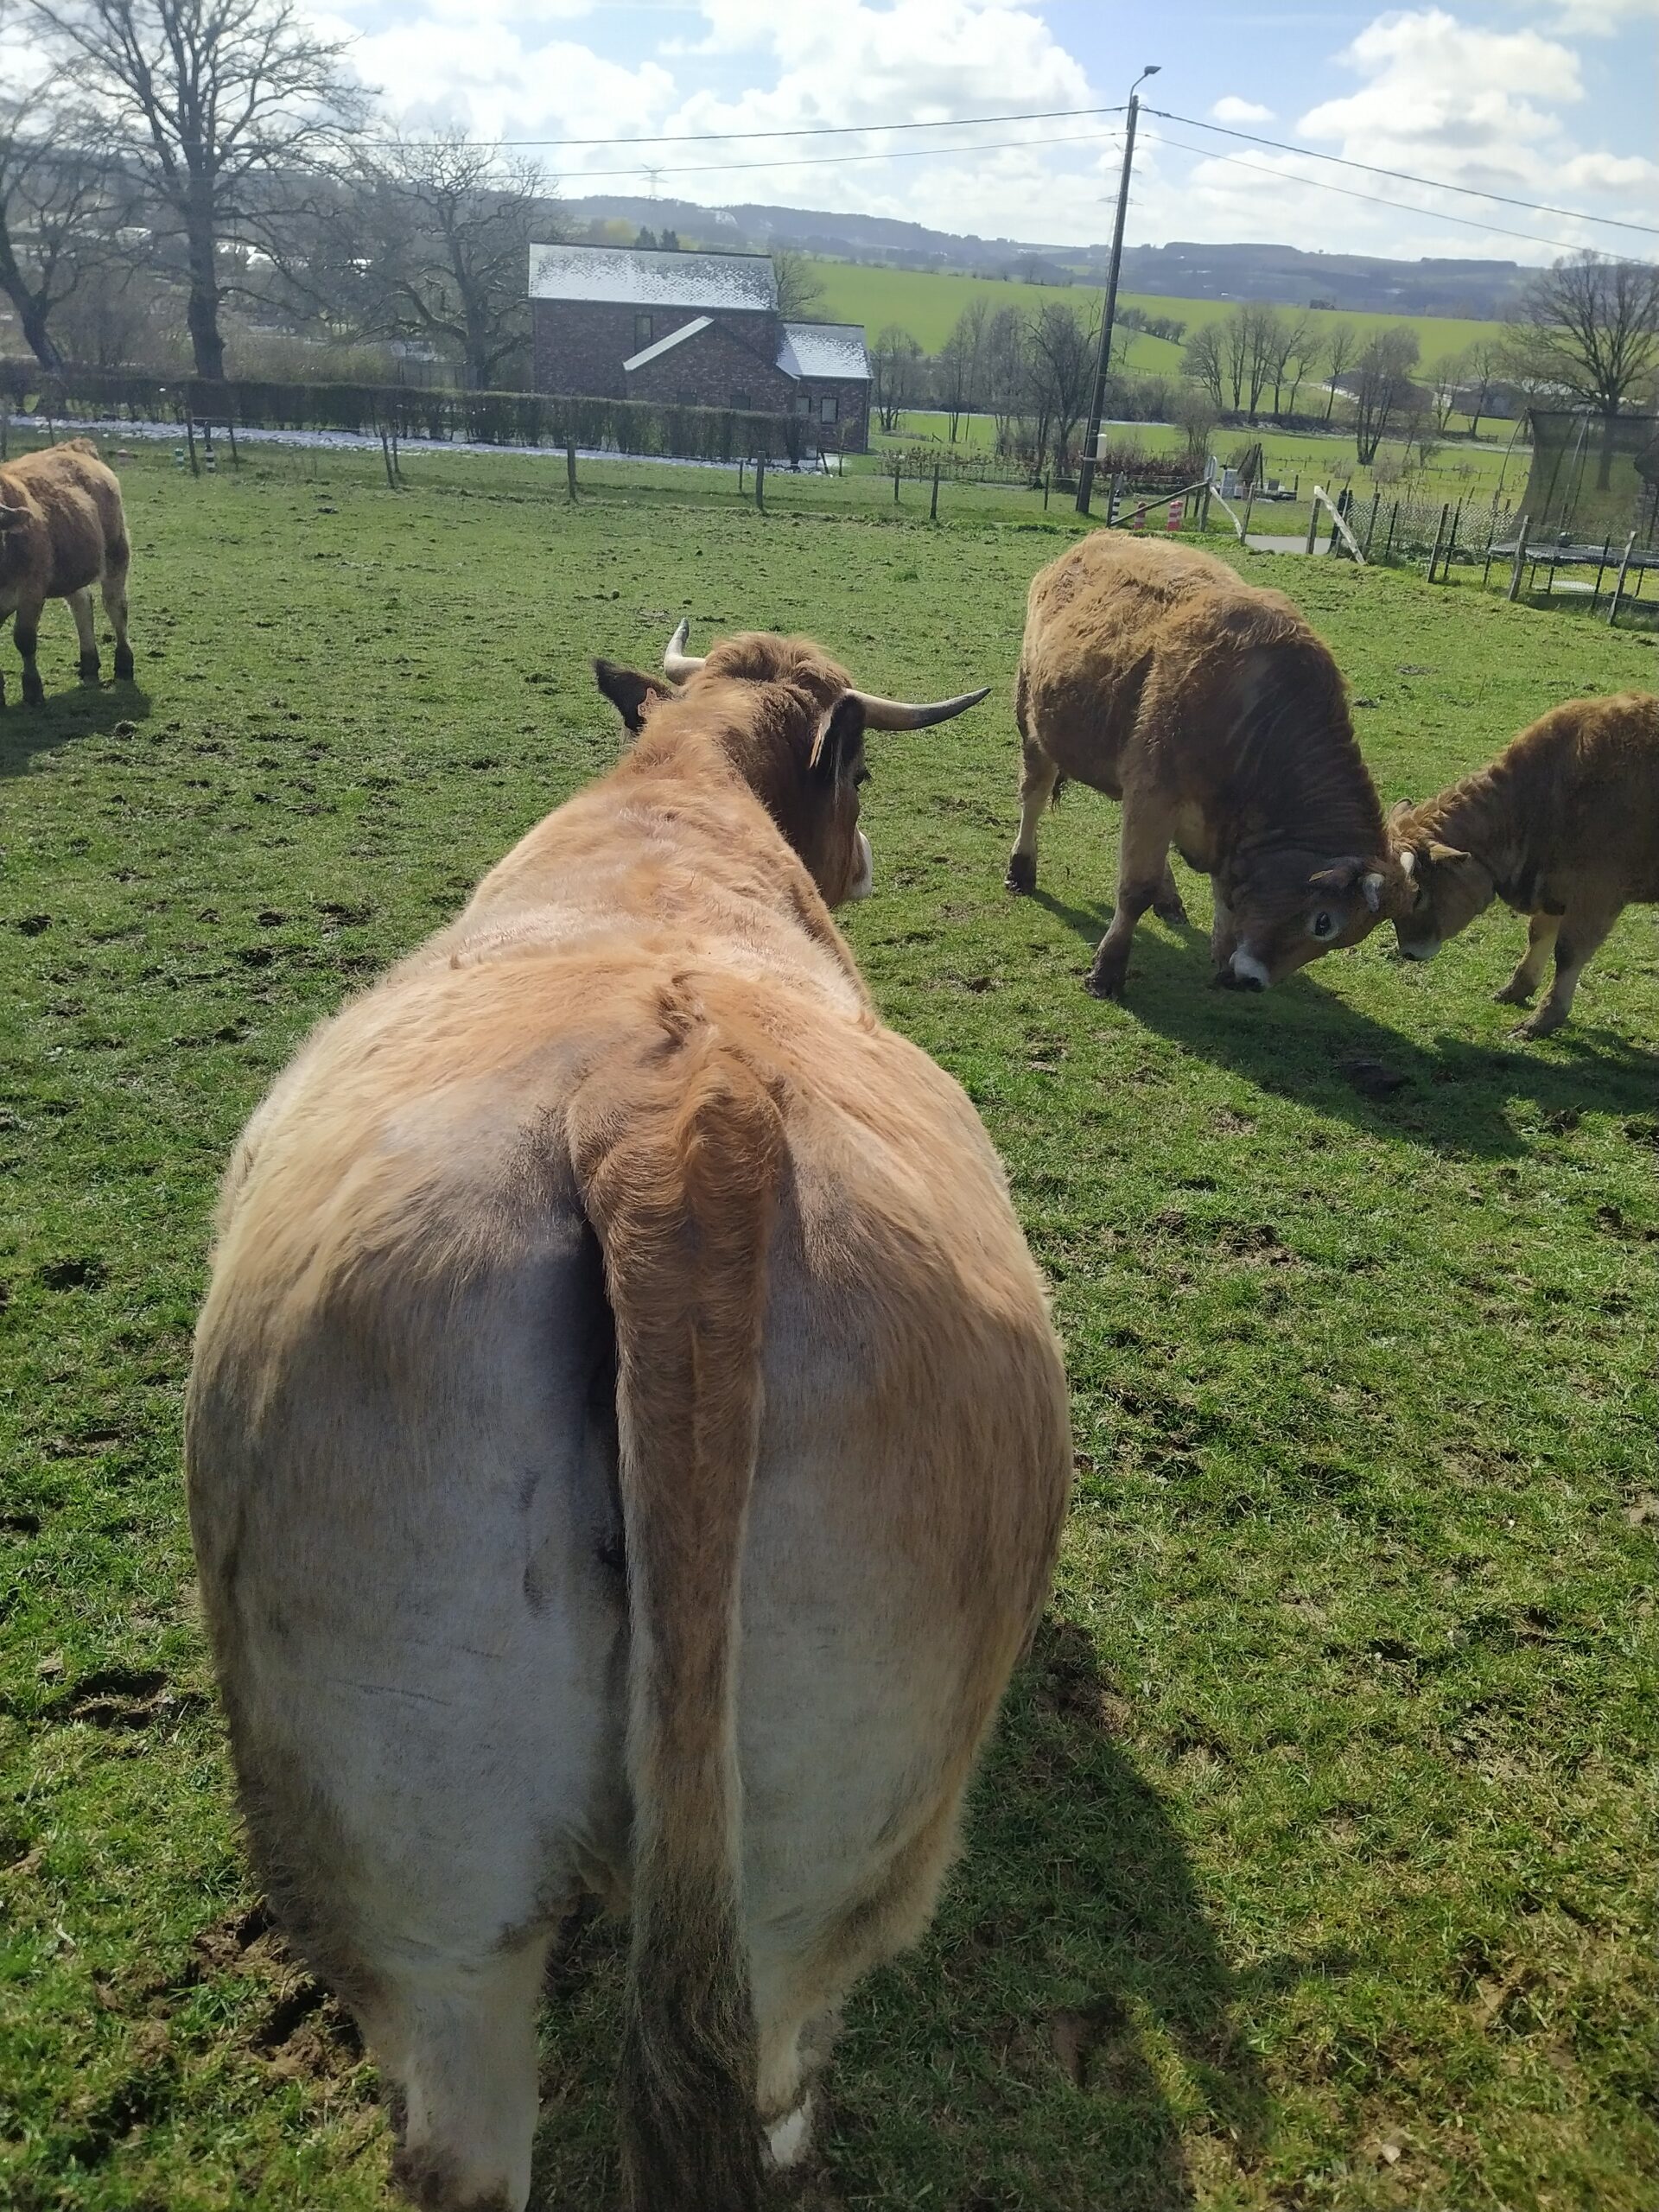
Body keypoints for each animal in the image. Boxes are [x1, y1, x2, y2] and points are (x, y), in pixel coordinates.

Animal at [0, 437, 134, 707]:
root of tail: (75, 446)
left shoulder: (31, 593)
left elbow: (25, 639)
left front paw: (33, 690)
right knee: (82, 605)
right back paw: (89, 663)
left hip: (117, 553)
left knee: (116, 606)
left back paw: (124, 664)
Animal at [184, 624, 1071, 2212]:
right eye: (861, 773)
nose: (866, 857)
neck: (680, 801)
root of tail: (673, 1126)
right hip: (765, 1886)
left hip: (436, 1885)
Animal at [1004, 533, 1409, 998]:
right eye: (1323, 922)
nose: (1253, 981)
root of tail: (1091, 543)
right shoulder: (1155, 794)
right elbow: (1134, 890)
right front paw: (1107, 970)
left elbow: (1222, 895)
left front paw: (1222, 955)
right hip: (1033, 724)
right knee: (1033, 797)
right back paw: (1021, 870)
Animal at [1388, 692, 1659, 1038]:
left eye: (1418, 894)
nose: (1408, 952)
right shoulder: (1554, 886)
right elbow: (1538, 934)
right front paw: (1517, 988)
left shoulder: (1597, 893)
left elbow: (1568, 951)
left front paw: (1544, 1019)